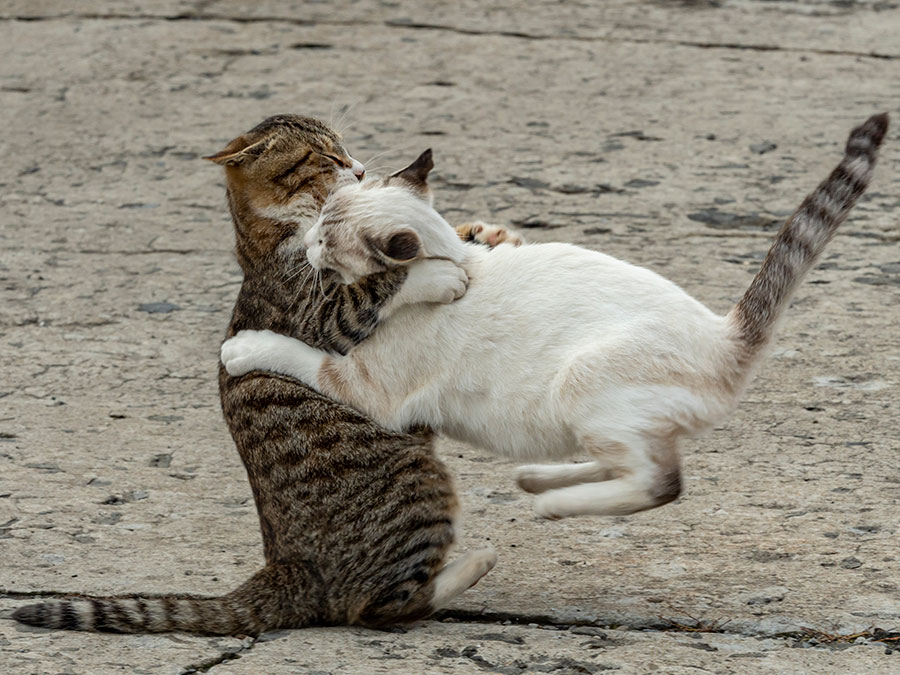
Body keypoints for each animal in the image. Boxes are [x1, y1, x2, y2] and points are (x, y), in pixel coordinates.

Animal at [12, 113, 492, 636]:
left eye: (345, 148)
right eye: (326, 157)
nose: (362, 169)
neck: (275, 232)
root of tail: (287, 565)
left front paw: (476, 233)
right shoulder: (323, 316)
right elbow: (380, 282)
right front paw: (437, 273)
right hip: (420, 484)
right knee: (379, 608)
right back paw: (473, 565)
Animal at [220, 115, 884, 516]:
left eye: (327, 242)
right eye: (319, 218)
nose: (308, 246)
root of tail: (727, 333)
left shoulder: (360, 386)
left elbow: (293, 351)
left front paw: (241, 348)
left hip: (581, 382)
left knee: (660, 483)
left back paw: (553, 503)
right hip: (597, 416)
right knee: (640, 461)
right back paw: (542, 478)